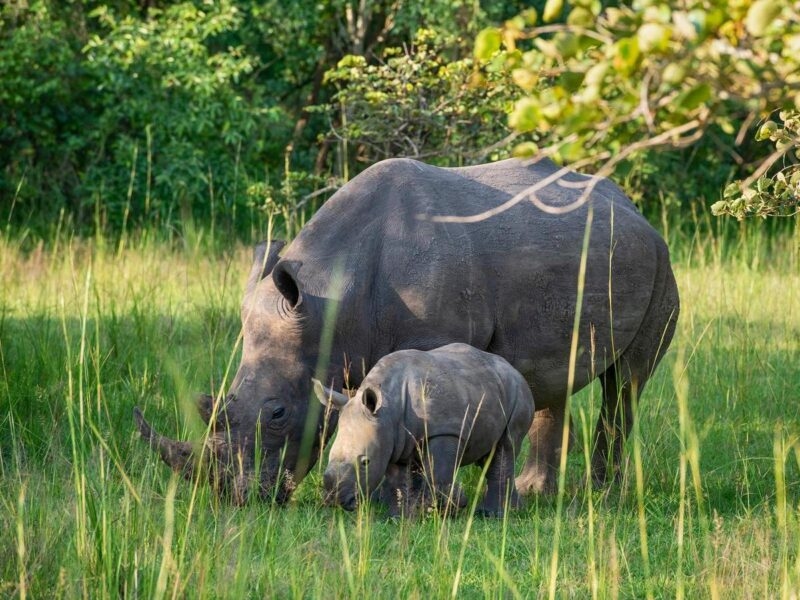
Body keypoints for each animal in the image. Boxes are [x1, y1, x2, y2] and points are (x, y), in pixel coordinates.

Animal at [314, 343, 535, 517]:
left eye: (365, 463)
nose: (336, 500)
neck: (388, 408)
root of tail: (513, 369)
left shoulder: (444, 430)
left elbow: (439, 472)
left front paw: (447, 509)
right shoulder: (394, 438)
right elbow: (398, 480)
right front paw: (399, 517)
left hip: (519, 393)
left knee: (506, 445)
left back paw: (493, 515)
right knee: (491, 454)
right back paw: (513, 510)